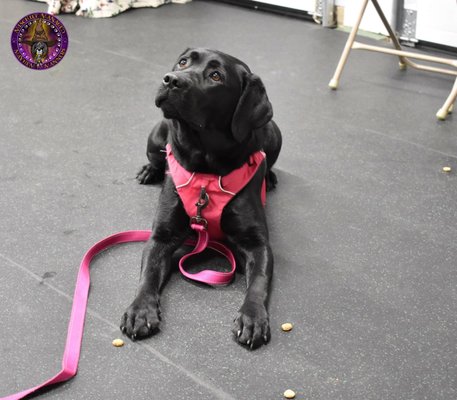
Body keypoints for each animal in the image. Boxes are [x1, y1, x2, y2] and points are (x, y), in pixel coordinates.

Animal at [119, 47, 280, 350]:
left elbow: (259, 282)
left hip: (275, 135)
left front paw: (252, 317)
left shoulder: (258, 244)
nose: (171, 79)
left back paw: (271, 177)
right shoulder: (161, 236)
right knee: (157, 156)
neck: (207, 169)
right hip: (156, 138)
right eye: (183, 62)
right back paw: (150, 170)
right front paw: (140, 310)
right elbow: (147, 275)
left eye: (216, 76)